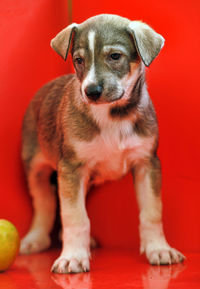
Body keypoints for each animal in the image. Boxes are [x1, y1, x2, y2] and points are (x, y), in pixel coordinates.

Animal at [19, 14, 184, 272]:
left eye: (115, 56)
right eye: (78, 60)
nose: (92, 91)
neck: (113, 116)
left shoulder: (147, 163)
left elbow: (152, 212)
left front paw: (159, 249)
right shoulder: (71, 169)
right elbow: (74, 216)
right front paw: (73, 257)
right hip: (36, 169)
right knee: (44, 204)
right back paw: (36, 239)